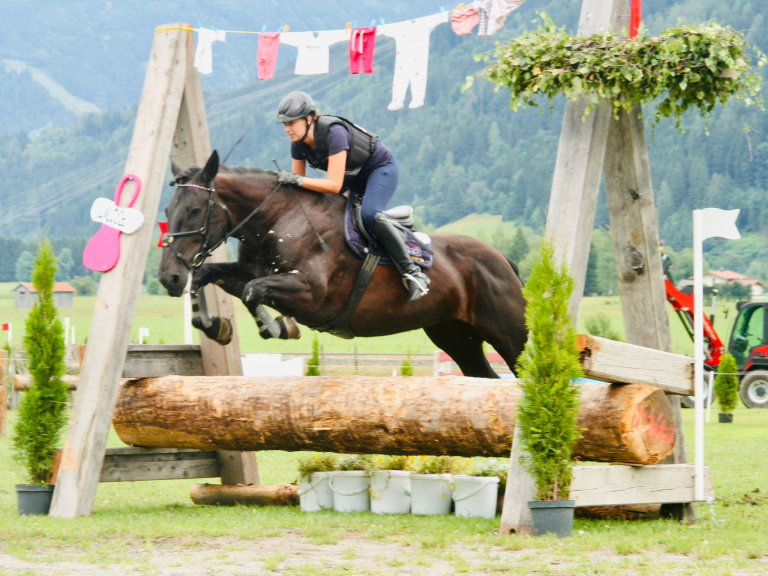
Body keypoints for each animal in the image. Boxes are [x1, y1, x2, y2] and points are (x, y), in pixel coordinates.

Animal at [158, 150, 528, 378]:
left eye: (194, 210)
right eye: (167, 211)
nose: (168, 277)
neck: (276, 219)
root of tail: (502, 260)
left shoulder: (311, 295)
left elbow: (253, 291)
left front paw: (277, 327)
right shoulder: (249, 272)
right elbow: (211, 275)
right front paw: (212, 324)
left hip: (511, 334)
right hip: (455, 336)